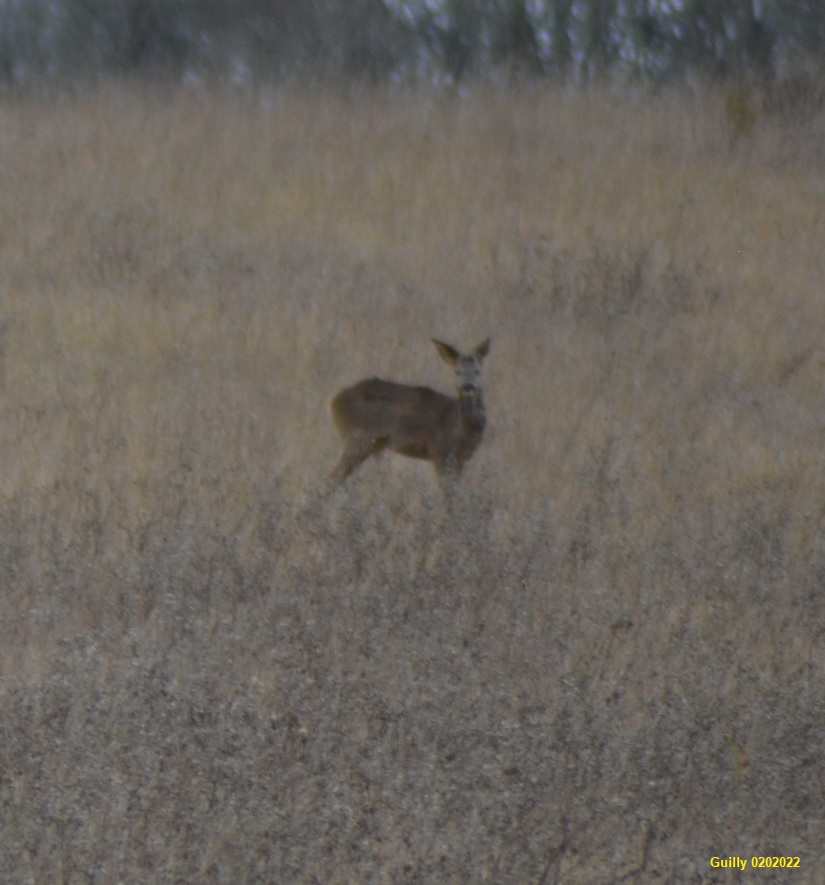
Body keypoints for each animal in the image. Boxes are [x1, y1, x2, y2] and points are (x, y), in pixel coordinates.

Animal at [328, 336, 490, 490]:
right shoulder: (440, 451)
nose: (468, 386)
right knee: (333, 477)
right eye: (458, 372)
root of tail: (334, 402)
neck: (461, 429)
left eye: (477, 371)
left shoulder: (460, 459)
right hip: (356, 438)